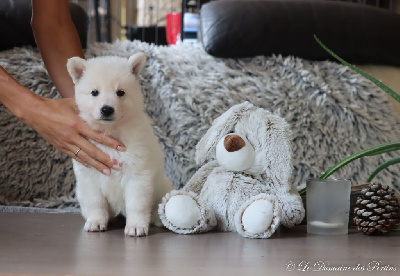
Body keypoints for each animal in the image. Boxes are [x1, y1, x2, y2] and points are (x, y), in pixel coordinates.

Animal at [67, 52, 172, 236]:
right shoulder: (89, 175)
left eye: (120, 92)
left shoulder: (138, 174)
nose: (107, 109)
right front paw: (96, 221)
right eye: (94, 92)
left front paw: (136, 226)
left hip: (163, 187)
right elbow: (96, 203)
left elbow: (136, 204)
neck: (112, 131)